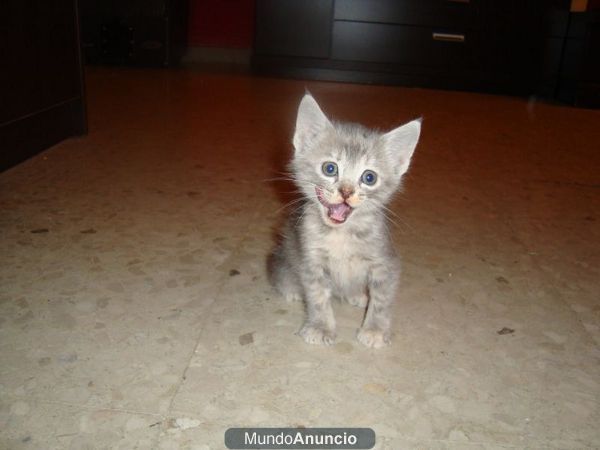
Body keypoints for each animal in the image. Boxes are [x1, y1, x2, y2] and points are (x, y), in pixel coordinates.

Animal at [270, 94, 420, 348]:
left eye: (369, 177)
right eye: (330, 168)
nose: (346, 192)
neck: (340, 233)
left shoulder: (385, 261)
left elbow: (382, 299)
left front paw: (374, 330)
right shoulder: (311, 260)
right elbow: (318, 296)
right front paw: (321, 326)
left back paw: (357, 294)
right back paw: (292, 288)